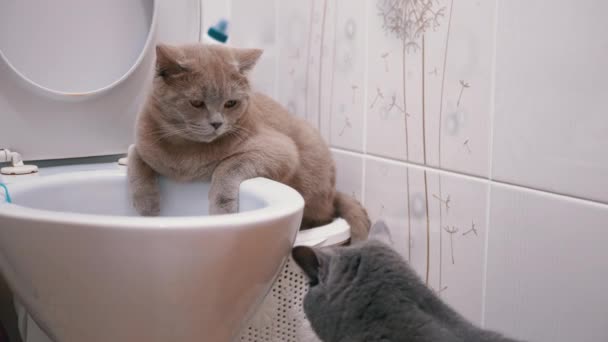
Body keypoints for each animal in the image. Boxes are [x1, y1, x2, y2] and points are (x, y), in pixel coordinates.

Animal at [127, 43, 370, 240]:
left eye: (230, 103)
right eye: (196, 103)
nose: (217, 123)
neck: (184, 154)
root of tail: (334, 192)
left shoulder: (280, 149)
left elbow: (227, 166)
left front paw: (223, 210)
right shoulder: (142, 142)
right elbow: (135, 158)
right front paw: (147, 207)